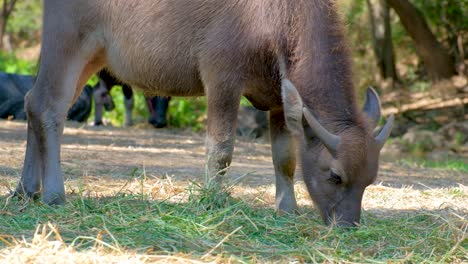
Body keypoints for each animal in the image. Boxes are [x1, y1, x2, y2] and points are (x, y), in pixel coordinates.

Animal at [16, 0, 394, 227]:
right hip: (68, 43)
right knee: (48, 106)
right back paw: (53, 194)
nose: (348, 226)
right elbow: (221, 149)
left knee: (34, 102)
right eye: (335, 176)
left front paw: (286, 208)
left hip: (93, 58)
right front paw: (213, 200)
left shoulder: (278, 99)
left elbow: (285, 159)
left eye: (370, 180)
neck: (275, 17)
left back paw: (24, 190)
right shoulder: (222, 79)